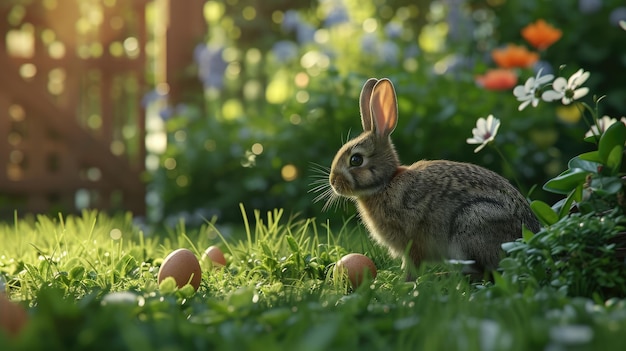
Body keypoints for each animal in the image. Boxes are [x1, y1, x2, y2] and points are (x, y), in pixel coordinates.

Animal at [324, 78, 540, 280]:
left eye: (356, 159)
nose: (333, 182)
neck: (386, 183)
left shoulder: (412, 240)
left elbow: (412, 265)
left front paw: (406, 283)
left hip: (471, 223)